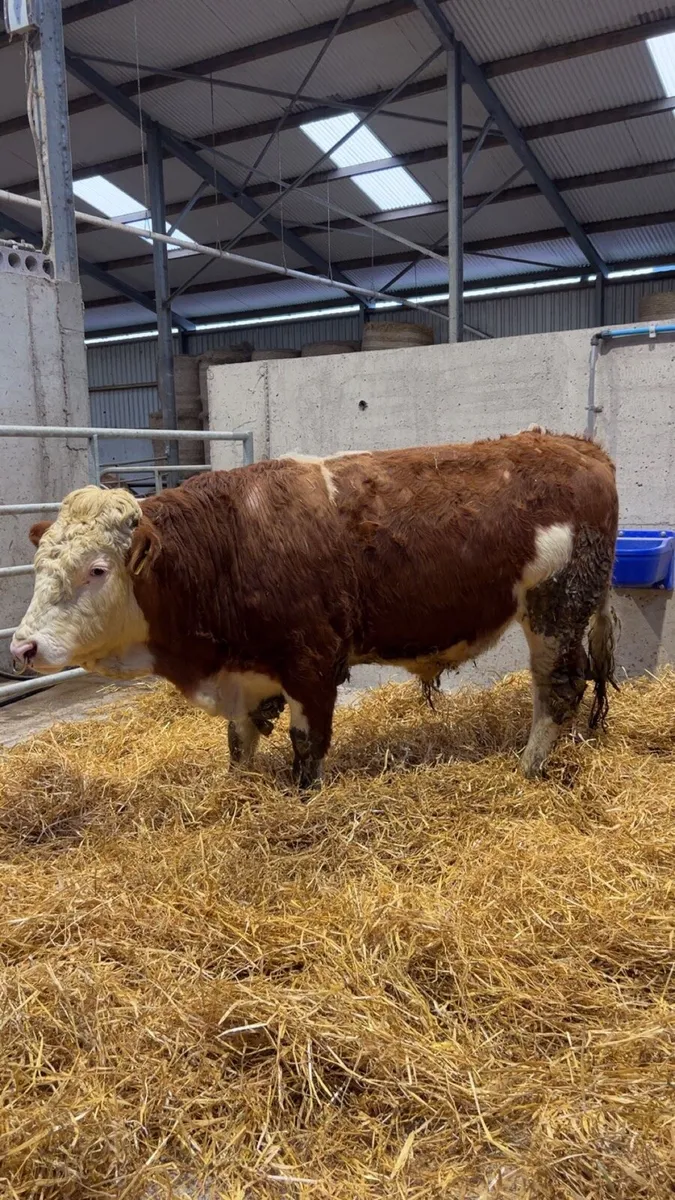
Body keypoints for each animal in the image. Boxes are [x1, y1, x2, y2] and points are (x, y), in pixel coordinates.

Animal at [10, 431, 618, 788]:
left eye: (97, 570)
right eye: (38, 565)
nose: (23, 646)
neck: (228, 545)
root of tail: (577, 446)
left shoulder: (312, 660)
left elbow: (307, 744)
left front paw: (303, 798)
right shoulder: (248, 669)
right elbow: (240, 739)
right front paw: (236, 788)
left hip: (557, 605)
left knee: (559, 688)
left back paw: (528, 767)